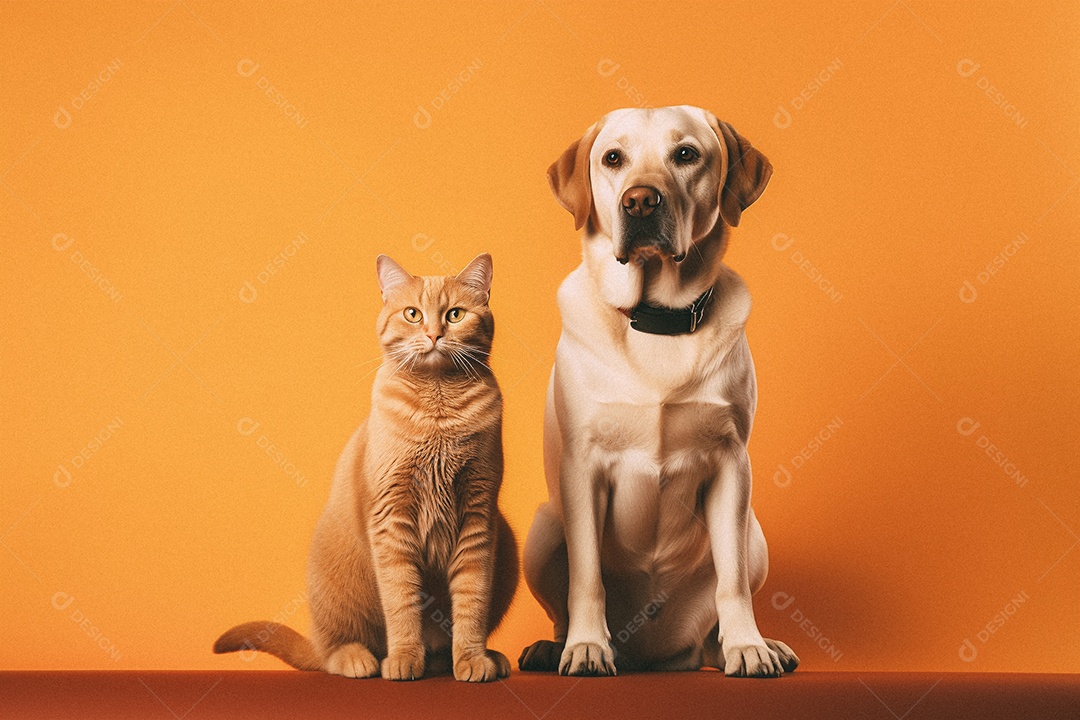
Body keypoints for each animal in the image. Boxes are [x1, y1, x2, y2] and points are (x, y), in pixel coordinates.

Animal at [214, 255, 518, 686]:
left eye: (455, 315)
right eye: (412, 314)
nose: (433, 334)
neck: (438, 409)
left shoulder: (479, 515)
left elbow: (471, 603)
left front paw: (472, 659)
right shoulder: (392, 520)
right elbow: (402, 603)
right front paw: (404, 659)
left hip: (506, 544)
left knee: (440, 647)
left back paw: (472, 657)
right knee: (333, 649)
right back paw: (358, 659)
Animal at [518, 105, 799, 677]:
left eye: (686, 154)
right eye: (612, 158)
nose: (640, 200)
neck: (656, 321)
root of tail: (656, 655)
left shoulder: (731, 463)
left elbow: (733, 584)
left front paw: (748, 647)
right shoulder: (582, 468)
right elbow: (586, 577)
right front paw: (587, 646)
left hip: (753, 533)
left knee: (717, 618)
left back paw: (750, 645)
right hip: (542, 528)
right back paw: (555, 647)